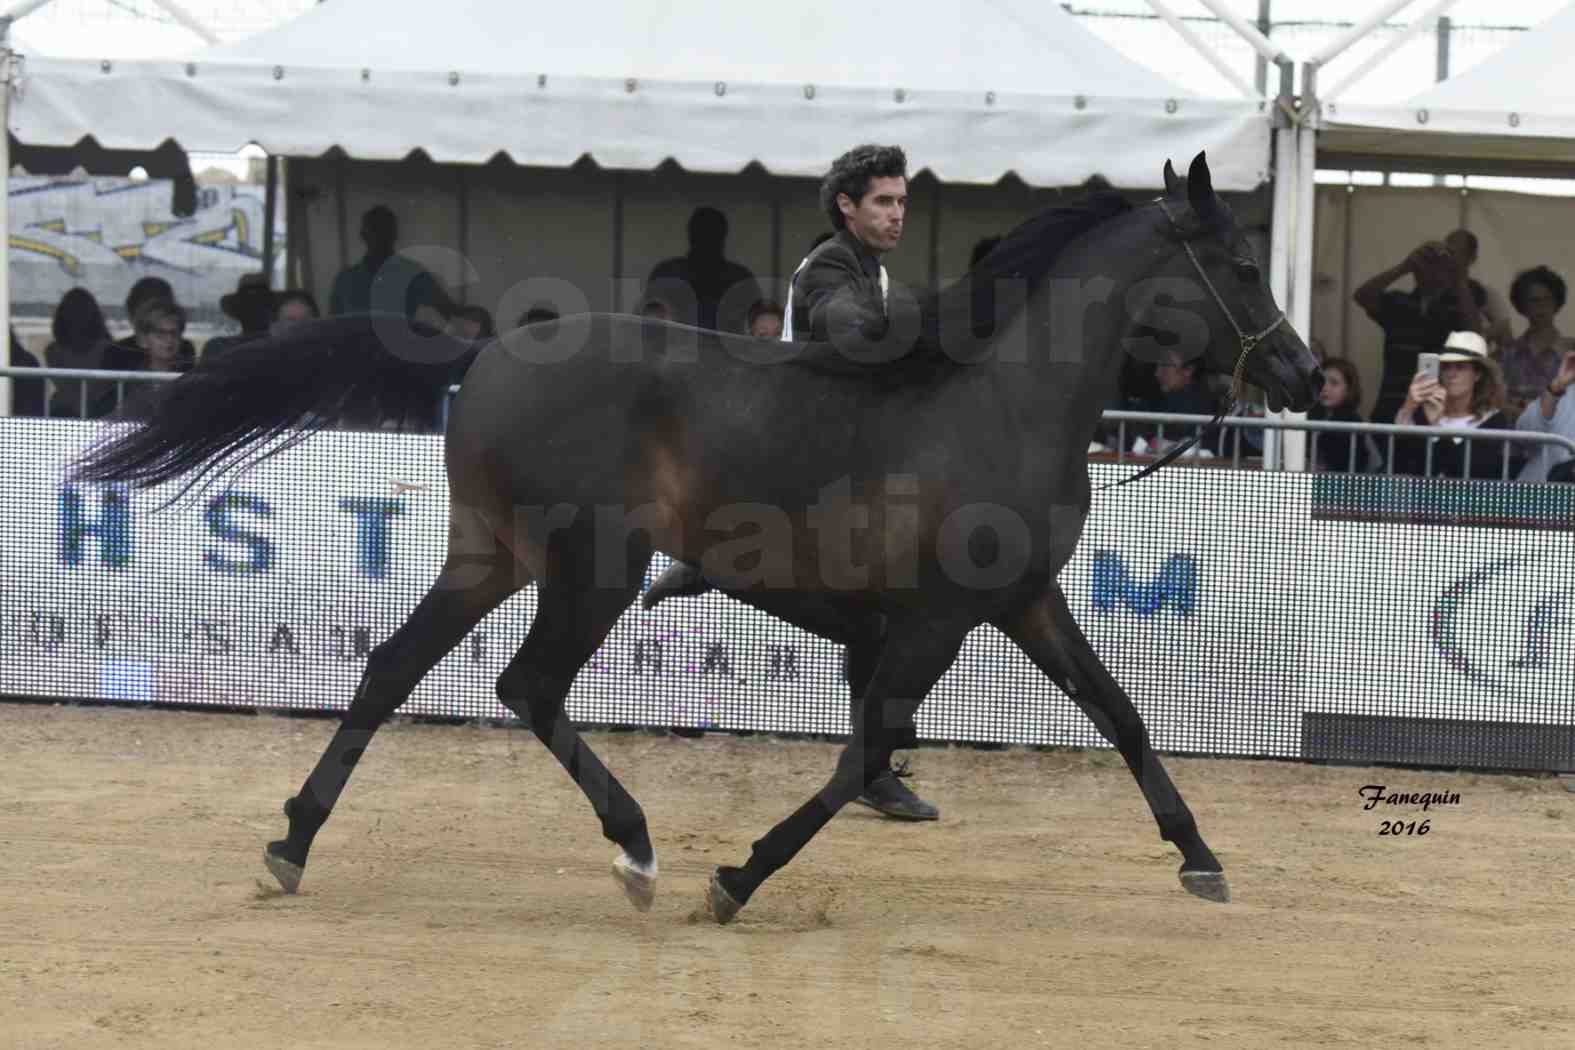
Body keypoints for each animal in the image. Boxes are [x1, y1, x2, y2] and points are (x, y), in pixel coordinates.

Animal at [79, 151, 1323, 925]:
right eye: (1240, 265)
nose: (1306, 374)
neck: (997, 396)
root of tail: (484, 351)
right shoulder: (939, 618)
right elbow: (866, 750)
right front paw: (736, 876)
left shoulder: (1023, 601)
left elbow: (1121, 716)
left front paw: (1201, 859)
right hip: (592, 568)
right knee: (527, 687)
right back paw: (634, 848)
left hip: (492, 556)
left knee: (392, 670)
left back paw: (291, 846)